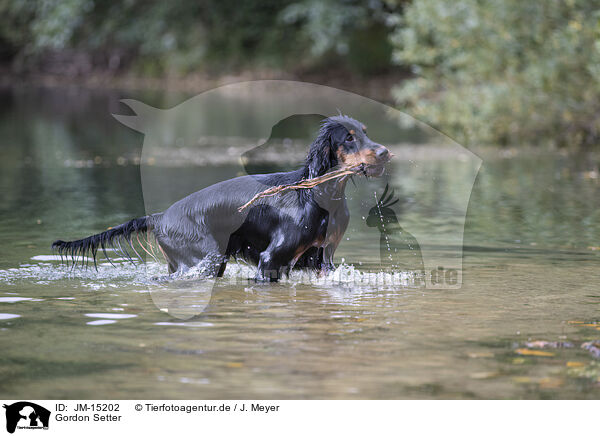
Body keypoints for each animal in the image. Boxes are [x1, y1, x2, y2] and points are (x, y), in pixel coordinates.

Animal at [54, 114, 392, 282]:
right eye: (348, 138)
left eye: (364, 132)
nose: (385, 152)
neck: (315, 195)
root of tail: (160, 217)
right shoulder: (271, 260)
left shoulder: (320, 261)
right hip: (203, 260)